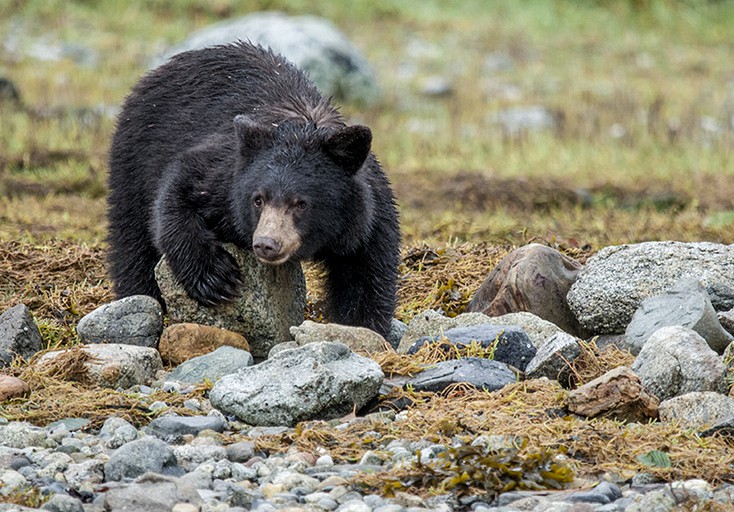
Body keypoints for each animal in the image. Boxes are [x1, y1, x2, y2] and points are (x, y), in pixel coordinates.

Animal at [106, 40, 400, 336]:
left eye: (301, 203)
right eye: (258, 199)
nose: (266, 244)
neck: (302, 127)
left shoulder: (367, 218)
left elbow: (366, 277)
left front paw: (362, 327)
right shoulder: (225, 176)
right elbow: (181, 188)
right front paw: (215, 276)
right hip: (135, 156)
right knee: (132, 240)